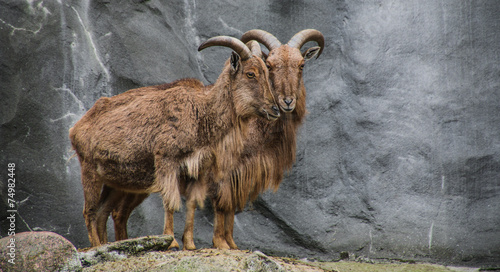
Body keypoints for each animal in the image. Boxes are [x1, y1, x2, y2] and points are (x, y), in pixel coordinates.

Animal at [69, 36, 282, 249]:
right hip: (89, 170)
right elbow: (171, 202)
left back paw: (106, 245)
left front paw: (189, 243)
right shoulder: (167, 162)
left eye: (266, 72)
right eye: (250, 74)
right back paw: (96, 245)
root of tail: (77, 127)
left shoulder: (198, 170)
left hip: (115, 182)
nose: (275, 109)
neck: (201, 114)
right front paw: (171, 242)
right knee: (89, 211)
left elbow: (192, 204)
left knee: (102, 212)